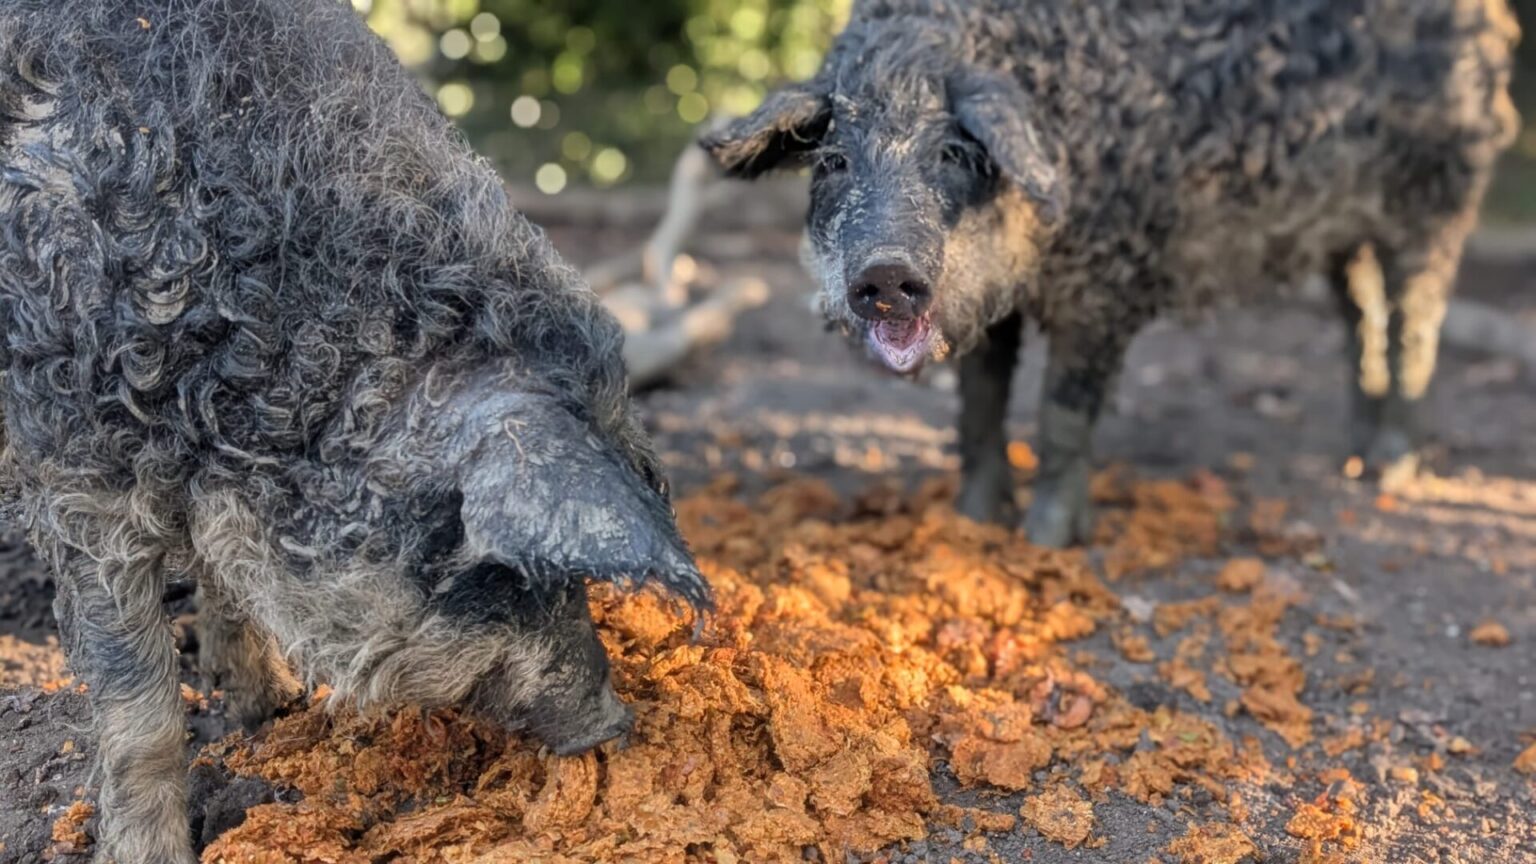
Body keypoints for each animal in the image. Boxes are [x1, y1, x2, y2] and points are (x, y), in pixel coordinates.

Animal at [0, 0, 709, 861]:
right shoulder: (75, 466)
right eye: (501, 569)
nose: (612, 724)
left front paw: (265, 710)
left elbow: (225, 587)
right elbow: (139, 703)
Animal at [702, 0, 1519, 546]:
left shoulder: (1106, 283)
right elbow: (980, 402)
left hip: (1440, 196)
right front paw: (975, 522)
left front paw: (1045, 542)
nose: (886, 271)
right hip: (1343, 232)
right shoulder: (997, 306)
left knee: (1416, 319)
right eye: (834, 161)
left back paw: (1389, 472)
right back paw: (1349, 458)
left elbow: (1063, 412)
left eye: (953, 154)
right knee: (1359, 314)